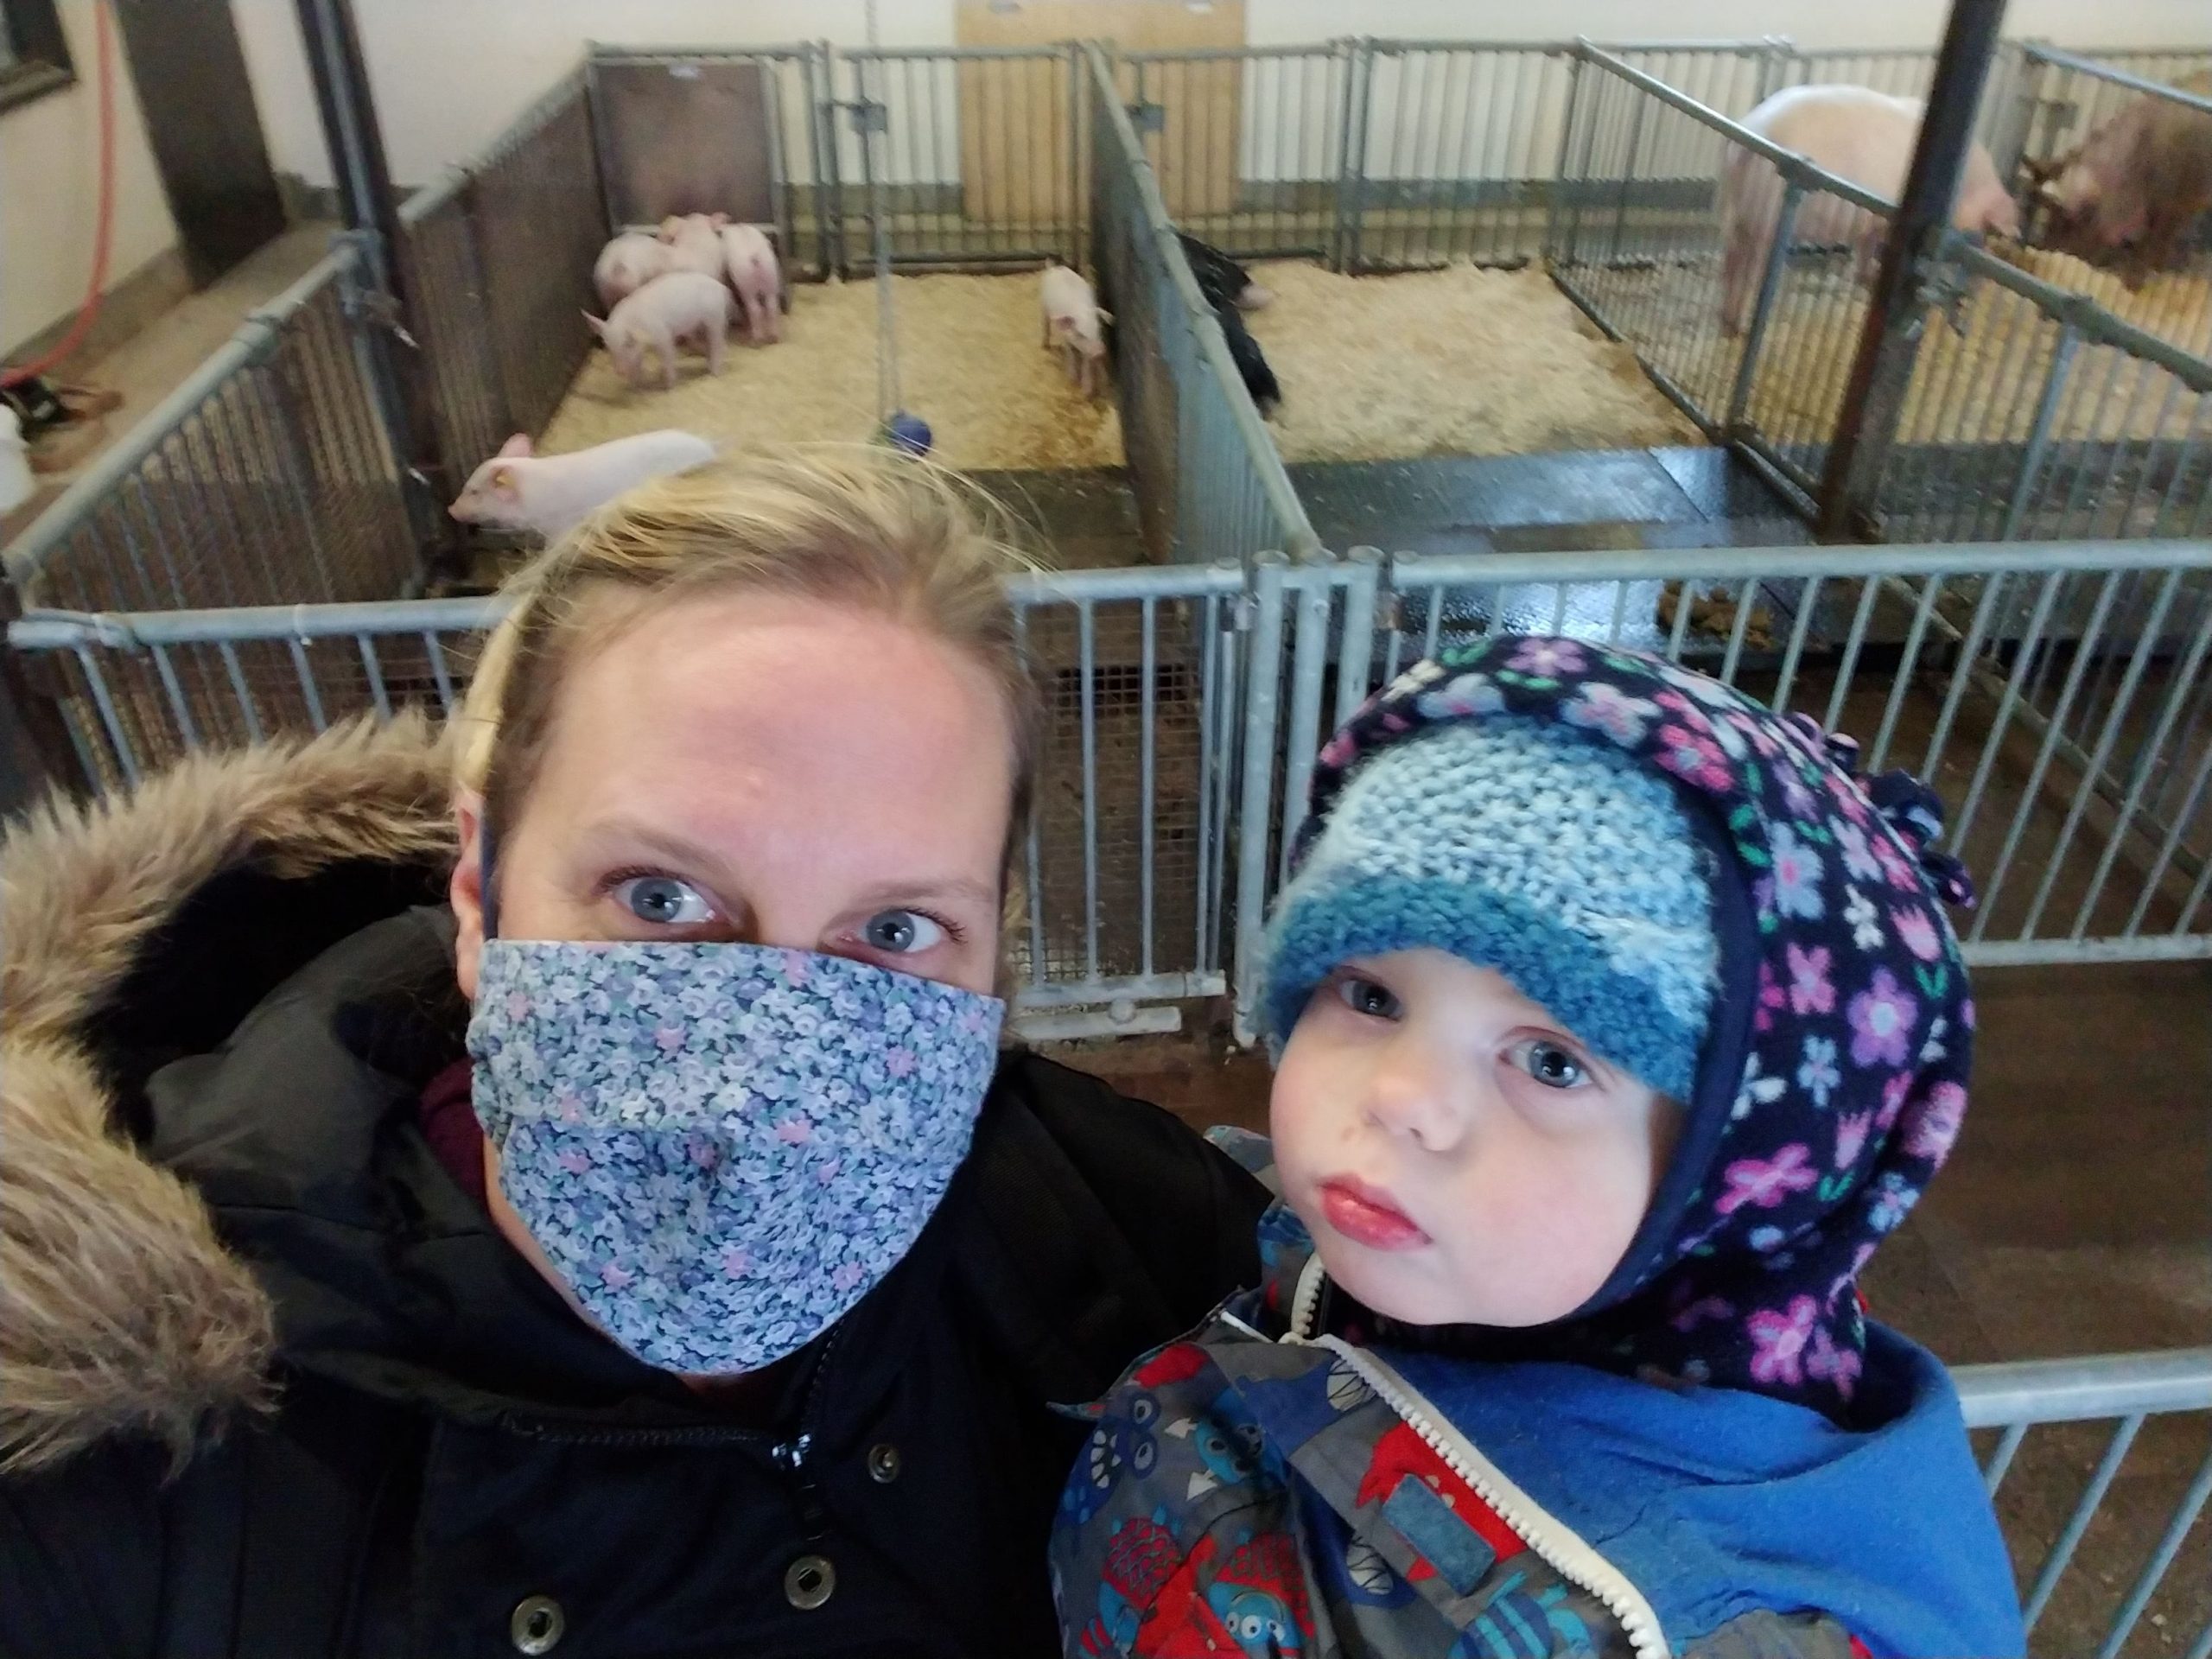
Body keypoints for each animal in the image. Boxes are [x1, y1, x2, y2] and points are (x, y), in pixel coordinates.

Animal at [584, 271, 738, 391]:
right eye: (609, 347)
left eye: (628, 343)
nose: (620, 372)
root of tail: (721, 288)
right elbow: (637, 364)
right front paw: (636, 386)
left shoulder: (663, 334)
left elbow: (667, 357)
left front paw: (668, 386)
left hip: (714, 317)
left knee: (717, 342)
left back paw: (714, 373)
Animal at [719, 222, 784, 344]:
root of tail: (755, 257)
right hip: (771, 277)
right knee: (772, 307)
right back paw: (773, 338)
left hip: (747, 285)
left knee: (755, 309)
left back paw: (757, 340)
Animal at [1040, 262, 1113, 399]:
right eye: (1081, 334)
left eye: (1099, 329)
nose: (1100, 351)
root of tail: (1056, 268)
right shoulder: (1066, 337)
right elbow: (1071, 355)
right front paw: (1072, 379)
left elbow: (1086, 363)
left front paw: (1087, 391)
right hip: (1043, 306)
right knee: (1045, 323)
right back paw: (1045, 346)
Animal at [1719, 85, 2020, 335]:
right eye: (1986, 233)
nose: (1977, 291)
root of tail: (1751, 133)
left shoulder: (1871, 221)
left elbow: (1864, 251)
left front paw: (1869, 277)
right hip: (1765, 220)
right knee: (1748, 270)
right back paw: (1743, 326)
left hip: (1735, 213)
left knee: (1731, 261)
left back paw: (1728, 320)